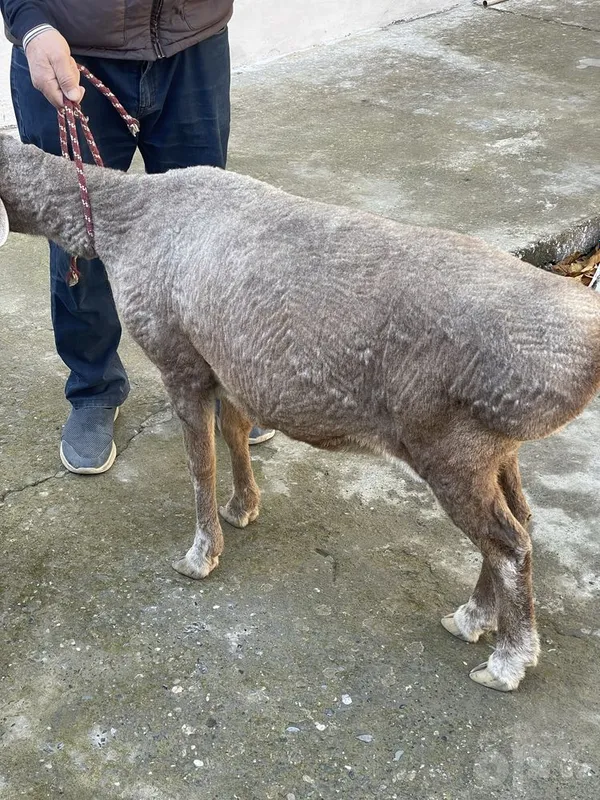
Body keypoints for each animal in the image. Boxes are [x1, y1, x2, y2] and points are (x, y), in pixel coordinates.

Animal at [1, 133, 600, 693]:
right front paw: (242, 507)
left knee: (508, 545)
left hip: (449, 444)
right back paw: (474, 618)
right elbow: (234, 432)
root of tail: (581, 349)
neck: (124, 221)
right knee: (519, 522)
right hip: (494, 445)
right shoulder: (230, 363)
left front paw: (201, 555)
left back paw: (506, 659)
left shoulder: (180, 358)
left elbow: (200, 464)